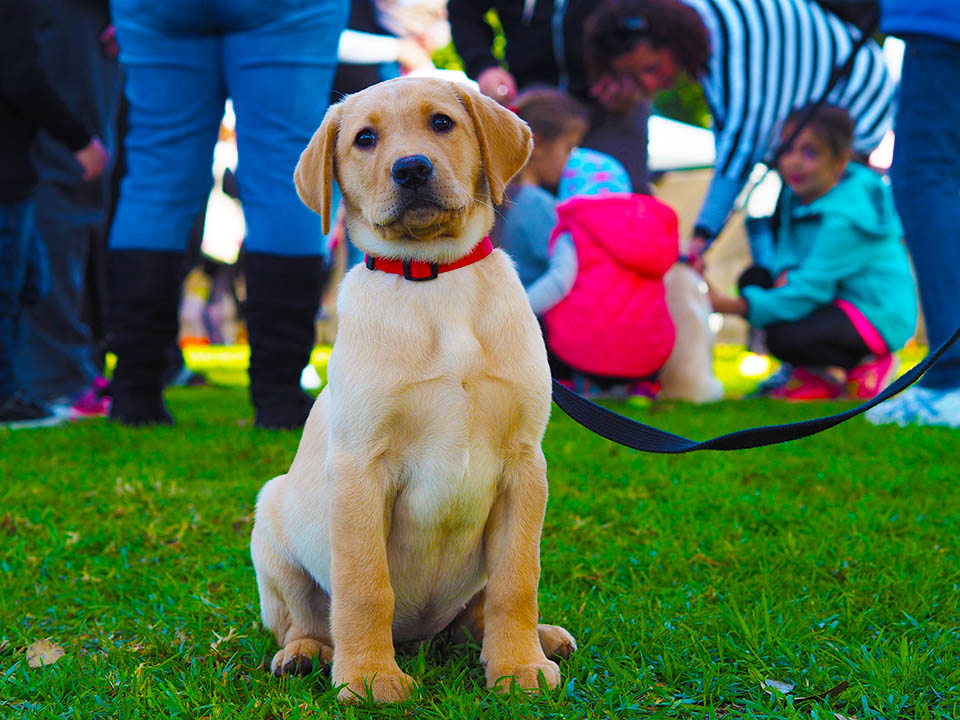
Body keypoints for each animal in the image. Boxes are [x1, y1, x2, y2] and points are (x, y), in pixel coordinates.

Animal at [251, 77, 572, 704]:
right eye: (364, 139)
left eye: (442, 123)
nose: (412, 168)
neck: (434, 278)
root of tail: (422, 636)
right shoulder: (360, 467)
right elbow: (365, 585)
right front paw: (370, 677)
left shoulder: (525, 464)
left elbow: (517, 581)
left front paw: (518, 665)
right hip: (270, 524)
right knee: (305, 617)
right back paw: (305, 654)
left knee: (476, 612)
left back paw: (542, 638)